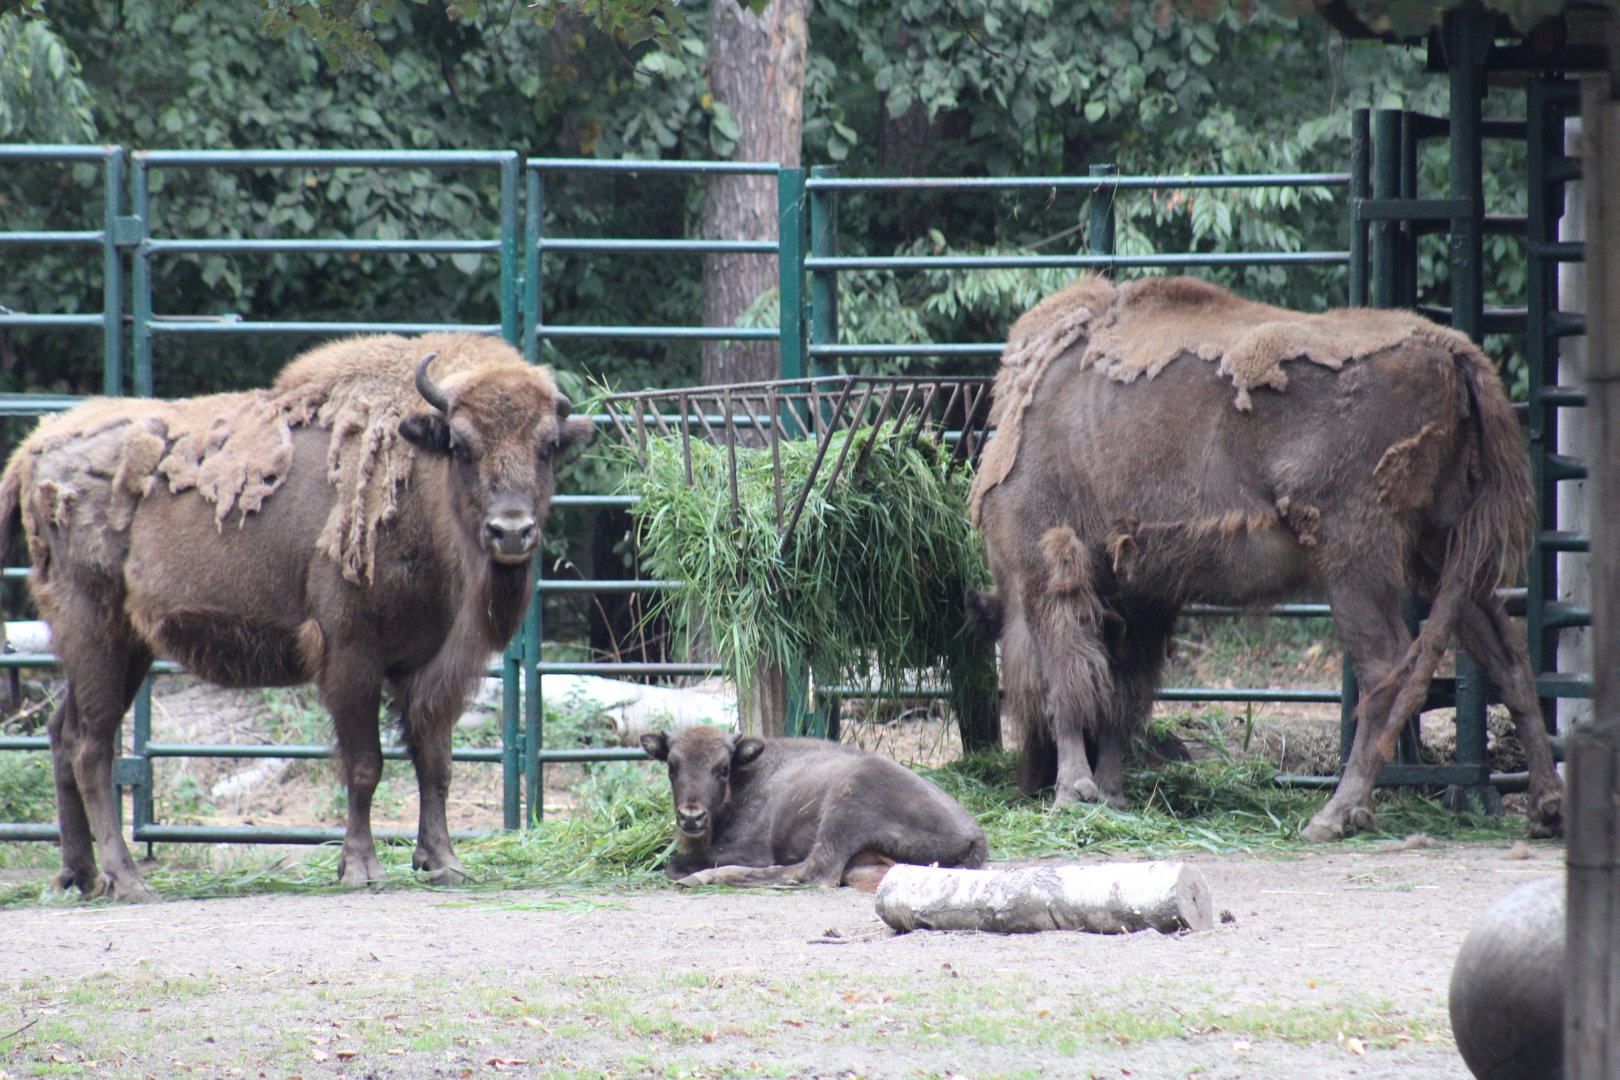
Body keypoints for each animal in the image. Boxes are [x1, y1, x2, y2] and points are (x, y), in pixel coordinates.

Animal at [0, 332, 593, 900]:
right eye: (462, 445)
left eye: (547, 446)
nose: (511, 532)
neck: (422, 487)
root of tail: (32, 452)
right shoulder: (351, 654)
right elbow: (365, 765)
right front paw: (362, 869)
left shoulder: (426, 666)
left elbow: (436, 762)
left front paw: (444, 863)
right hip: (94, 633)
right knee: (91, 747)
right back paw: (127, 881)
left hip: (125, 650)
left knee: (62, 733)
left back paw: (79, 876)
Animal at [640, 726, 987, 888]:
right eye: (672, 766)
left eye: (722, 769)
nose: (691, 817)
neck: (745, 775)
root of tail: (975, 835)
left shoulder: (753, 850)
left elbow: (676, 862)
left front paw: (690, 873)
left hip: (843, 809)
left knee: (813, 871)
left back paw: (704, 878)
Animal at [969, 275, 1564, 842]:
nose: (1025, 784)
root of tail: (1453, 351)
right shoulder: (1138, 595)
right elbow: (1118, 694)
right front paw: (1111, 796)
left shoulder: (1048, 571)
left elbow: (1066, 685)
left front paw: (1073, 793)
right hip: (1444, 549)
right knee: (1507, 658)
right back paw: (1544, 809)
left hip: (1356, 559)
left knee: (1386, 670)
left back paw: (1335, 815)